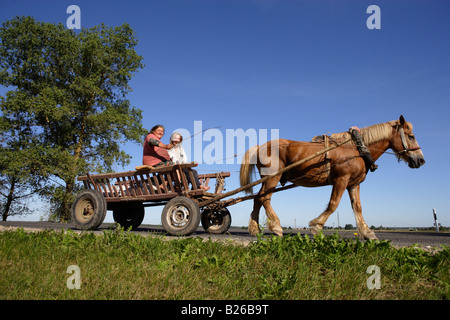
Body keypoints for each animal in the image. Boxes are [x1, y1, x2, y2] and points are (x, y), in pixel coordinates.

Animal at [239, 116, 426, 239]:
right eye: (411, 136)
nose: (421, 160)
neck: (356, 149)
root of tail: (260, 146)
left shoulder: (353, 184)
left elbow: (358, 208)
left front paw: (367, 232)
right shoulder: (341, 180)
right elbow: (333, 204)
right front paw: (316, 226)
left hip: (267, 179)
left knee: (257, 198)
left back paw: (255, 229)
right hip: (273, 177)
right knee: (264, 198)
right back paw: (277, 226)